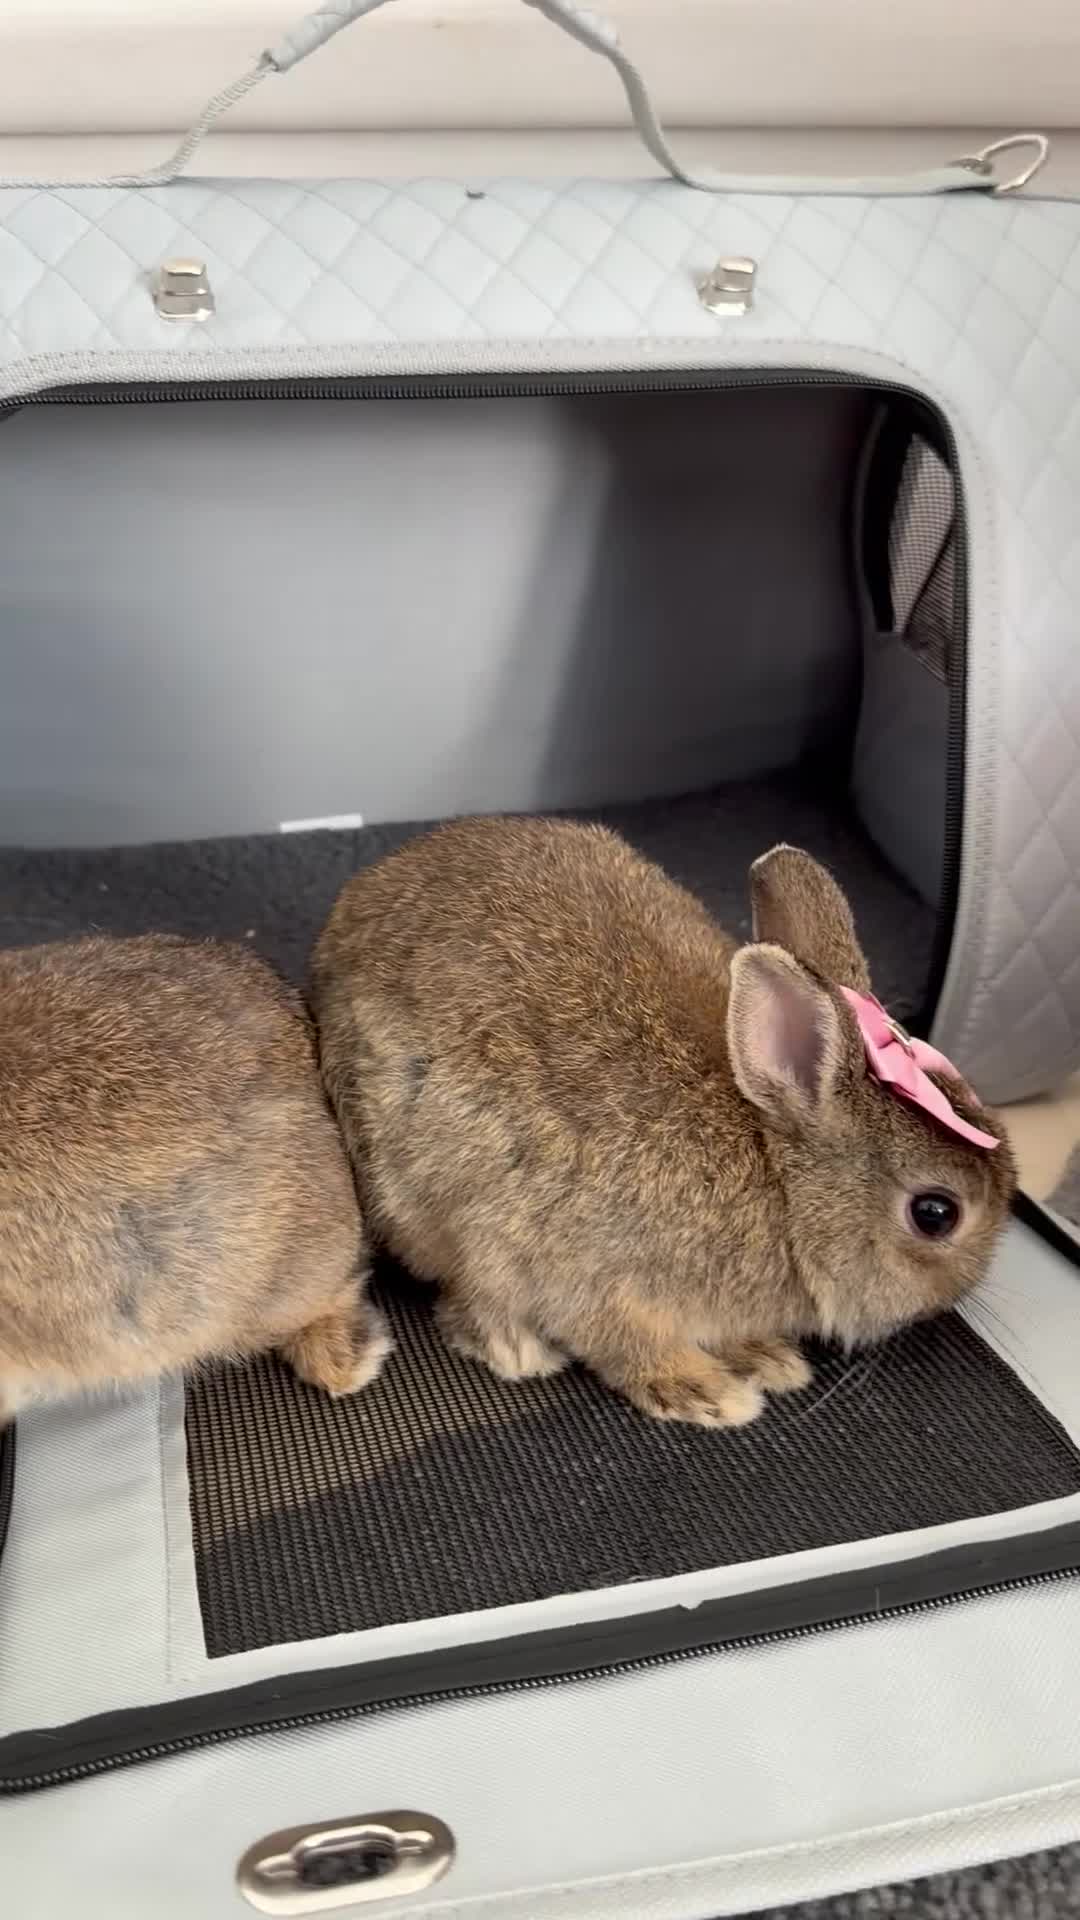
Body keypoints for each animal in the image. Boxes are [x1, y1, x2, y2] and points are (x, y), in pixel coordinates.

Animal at [311, 820, 1016, 1428]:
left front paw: (766, 1358)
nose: (962, 1293)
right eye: (935, 1214)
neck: (782, 1182)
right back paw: (518, 1348)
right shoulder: (588, 1275)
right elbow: (626, 1347)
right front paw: (706, 1392)